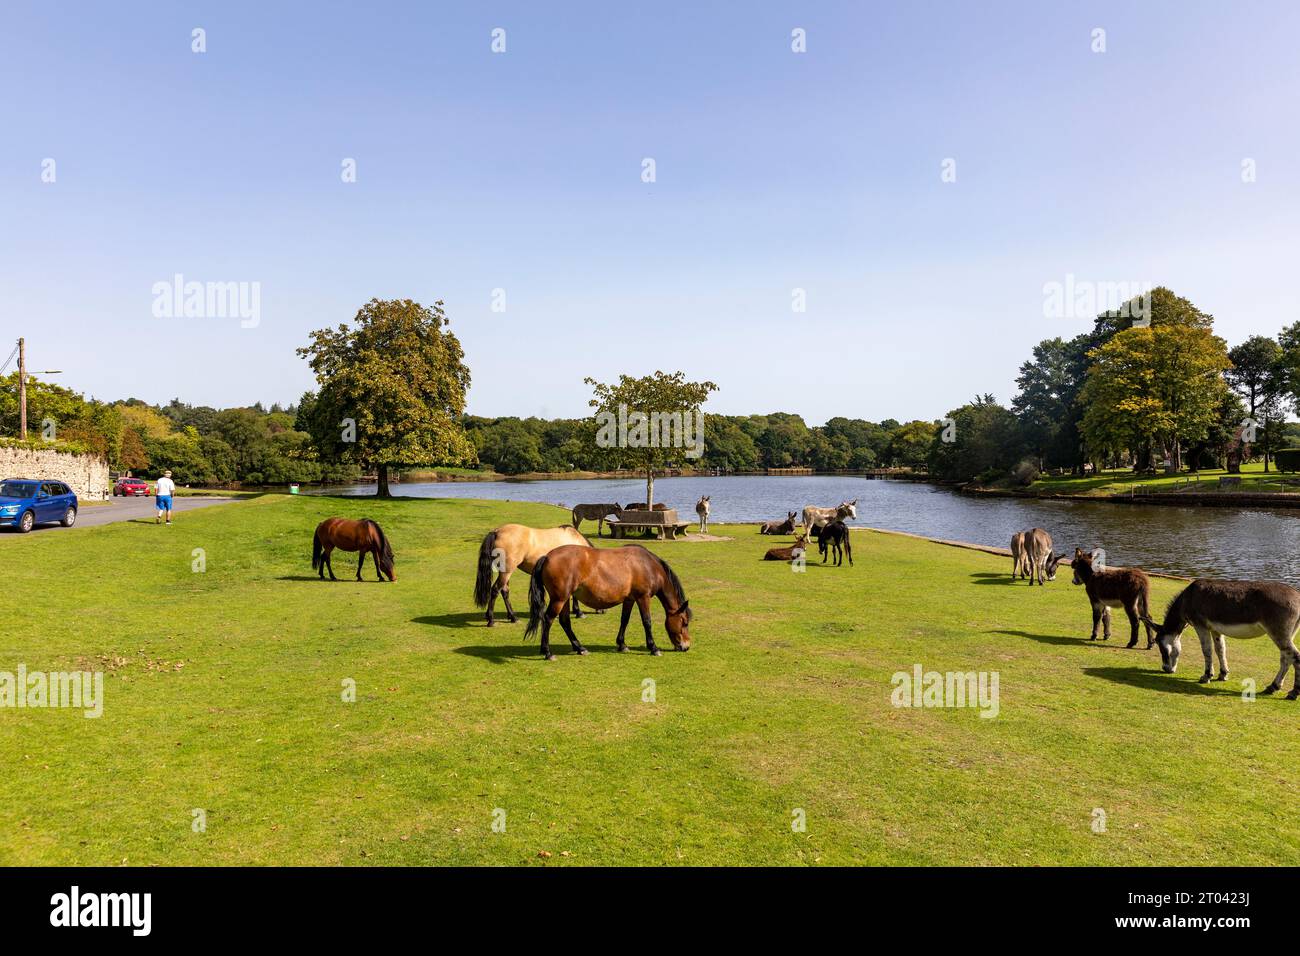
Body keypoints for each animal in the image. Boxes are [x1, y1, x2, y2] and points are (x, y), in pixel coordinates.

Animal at [525, 546, 696, 658]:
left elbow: (624, 620)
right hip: (559, 599)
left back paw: (579, 648)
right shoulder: (643, 597)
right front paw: (653, 648)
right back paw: (547, 652)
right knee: (548, 619)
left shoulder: (630, 599)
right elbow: (647, 622)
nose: (686, 646)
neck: (648, 565)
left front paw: (622, 645)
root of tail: (547, 557)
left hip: (565, 599)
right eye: (684, 622)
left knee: (565, 621)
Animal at [1149, 574, 1300, 697]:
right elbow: (1220, 649)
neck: (1189, 597)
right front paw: (1222, 674)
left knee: (1295, 656)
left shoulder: (1201, 626)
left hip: (1278, 633)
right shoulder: (1215, 629)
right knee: (1286, 659)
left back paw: (1293, 693)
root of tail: (1297, 594)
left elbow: (1207, 650)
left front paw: (1206, 676)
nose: (1165, 669)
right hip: (1287, 635)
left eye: (1159, 645)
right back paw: (1273, 687)